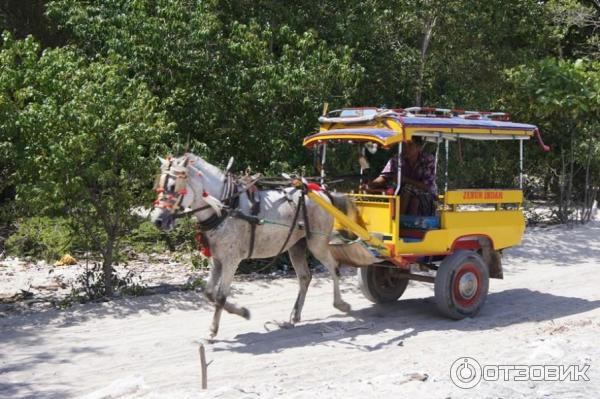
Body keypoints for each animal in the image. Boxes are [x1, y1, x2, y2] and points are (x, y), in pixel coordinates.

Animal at [149, 155, 356, 340]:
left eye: (172, 187)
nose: (157, 220)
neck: (224, 207)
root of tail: (322, 192)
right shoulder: (217, 260)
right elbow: (209, 293)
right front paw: (241, 312)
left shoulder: (231, 261)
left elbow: (221, 296)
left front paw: (214, 329)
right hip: (296, 246)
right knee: (305, 277)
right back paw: (294, 316)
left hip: (317, 244)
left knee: (334, 268)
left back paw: (341, 304)